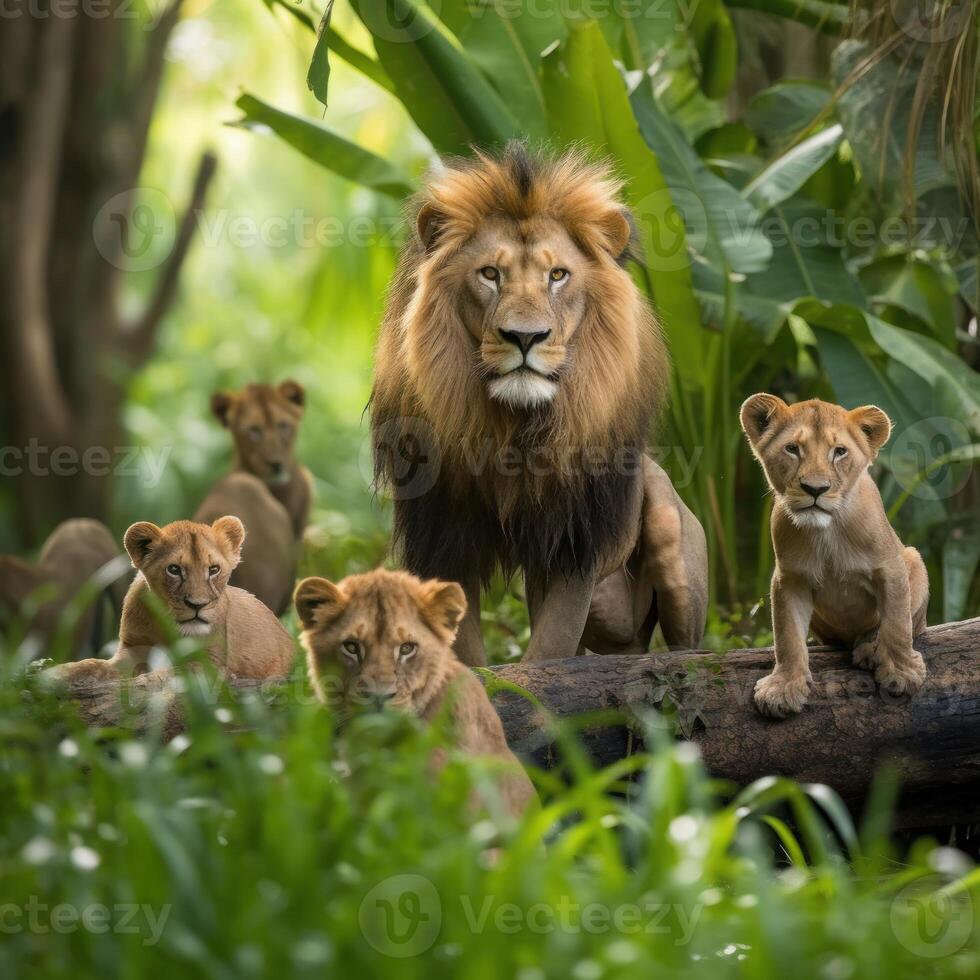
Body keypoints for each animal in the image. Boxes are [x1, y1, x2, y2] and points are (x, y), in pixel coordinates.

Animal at [374, 144, 704, 668]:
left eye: (557, 275)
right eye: (490, 274)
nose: (525, 337)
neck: (514, 429)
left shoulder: (575, 539)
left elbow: (551, 648)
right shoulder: (445, 536)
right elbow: (467, 650)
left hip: (670, 537)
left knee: (686, 641)